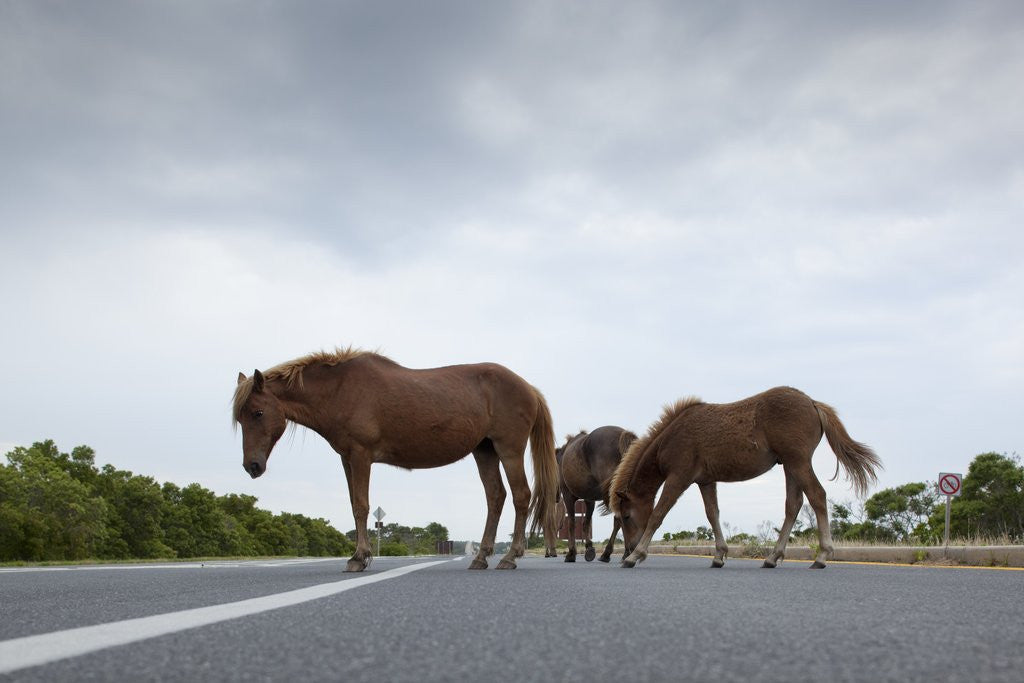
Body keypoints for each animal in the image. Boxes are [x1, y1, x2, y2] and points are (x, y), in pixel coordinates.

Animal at [233, 347, 560, 572]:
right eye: (240, 418)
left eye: (258, 413)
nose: (252, 466)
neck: (340, 390)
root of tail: (529, 388)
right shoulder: (347, 459)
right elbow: (354, 505)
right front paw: (359, 554)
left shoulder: (361, 456)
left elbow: (362, 506)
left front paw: (359, 557)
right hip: (485, 450)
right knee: (496, 496)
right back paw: (480, 557)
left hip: (509, 449)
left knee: (520, 496)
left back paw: (510, 556)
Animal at [556, 426, 637, 563]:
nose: (556, 498)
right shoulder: (589, 499)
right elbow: (586, 522)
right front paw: (589, 548)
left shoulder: (568, 496)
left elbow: (572, 522)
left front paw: (571, 553)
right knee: (620, 519)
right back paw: (614, 553)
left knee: (620, 518)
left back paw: (622, 553)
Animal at [609, 386, 881, 570]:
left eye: (626, 516)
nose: (628, 547)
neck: (671, 437)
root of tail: (812, 403)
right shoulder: (705, 481)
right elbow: (712, 514)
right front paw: (719, 555)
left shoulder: (679, 478)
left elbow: (658, 514)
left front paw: (636, 556)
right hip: (790, 465)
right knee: (793, 505)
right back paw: (772, 558)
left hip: (798, 461)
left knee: (817, 496)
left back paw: (822, 556)